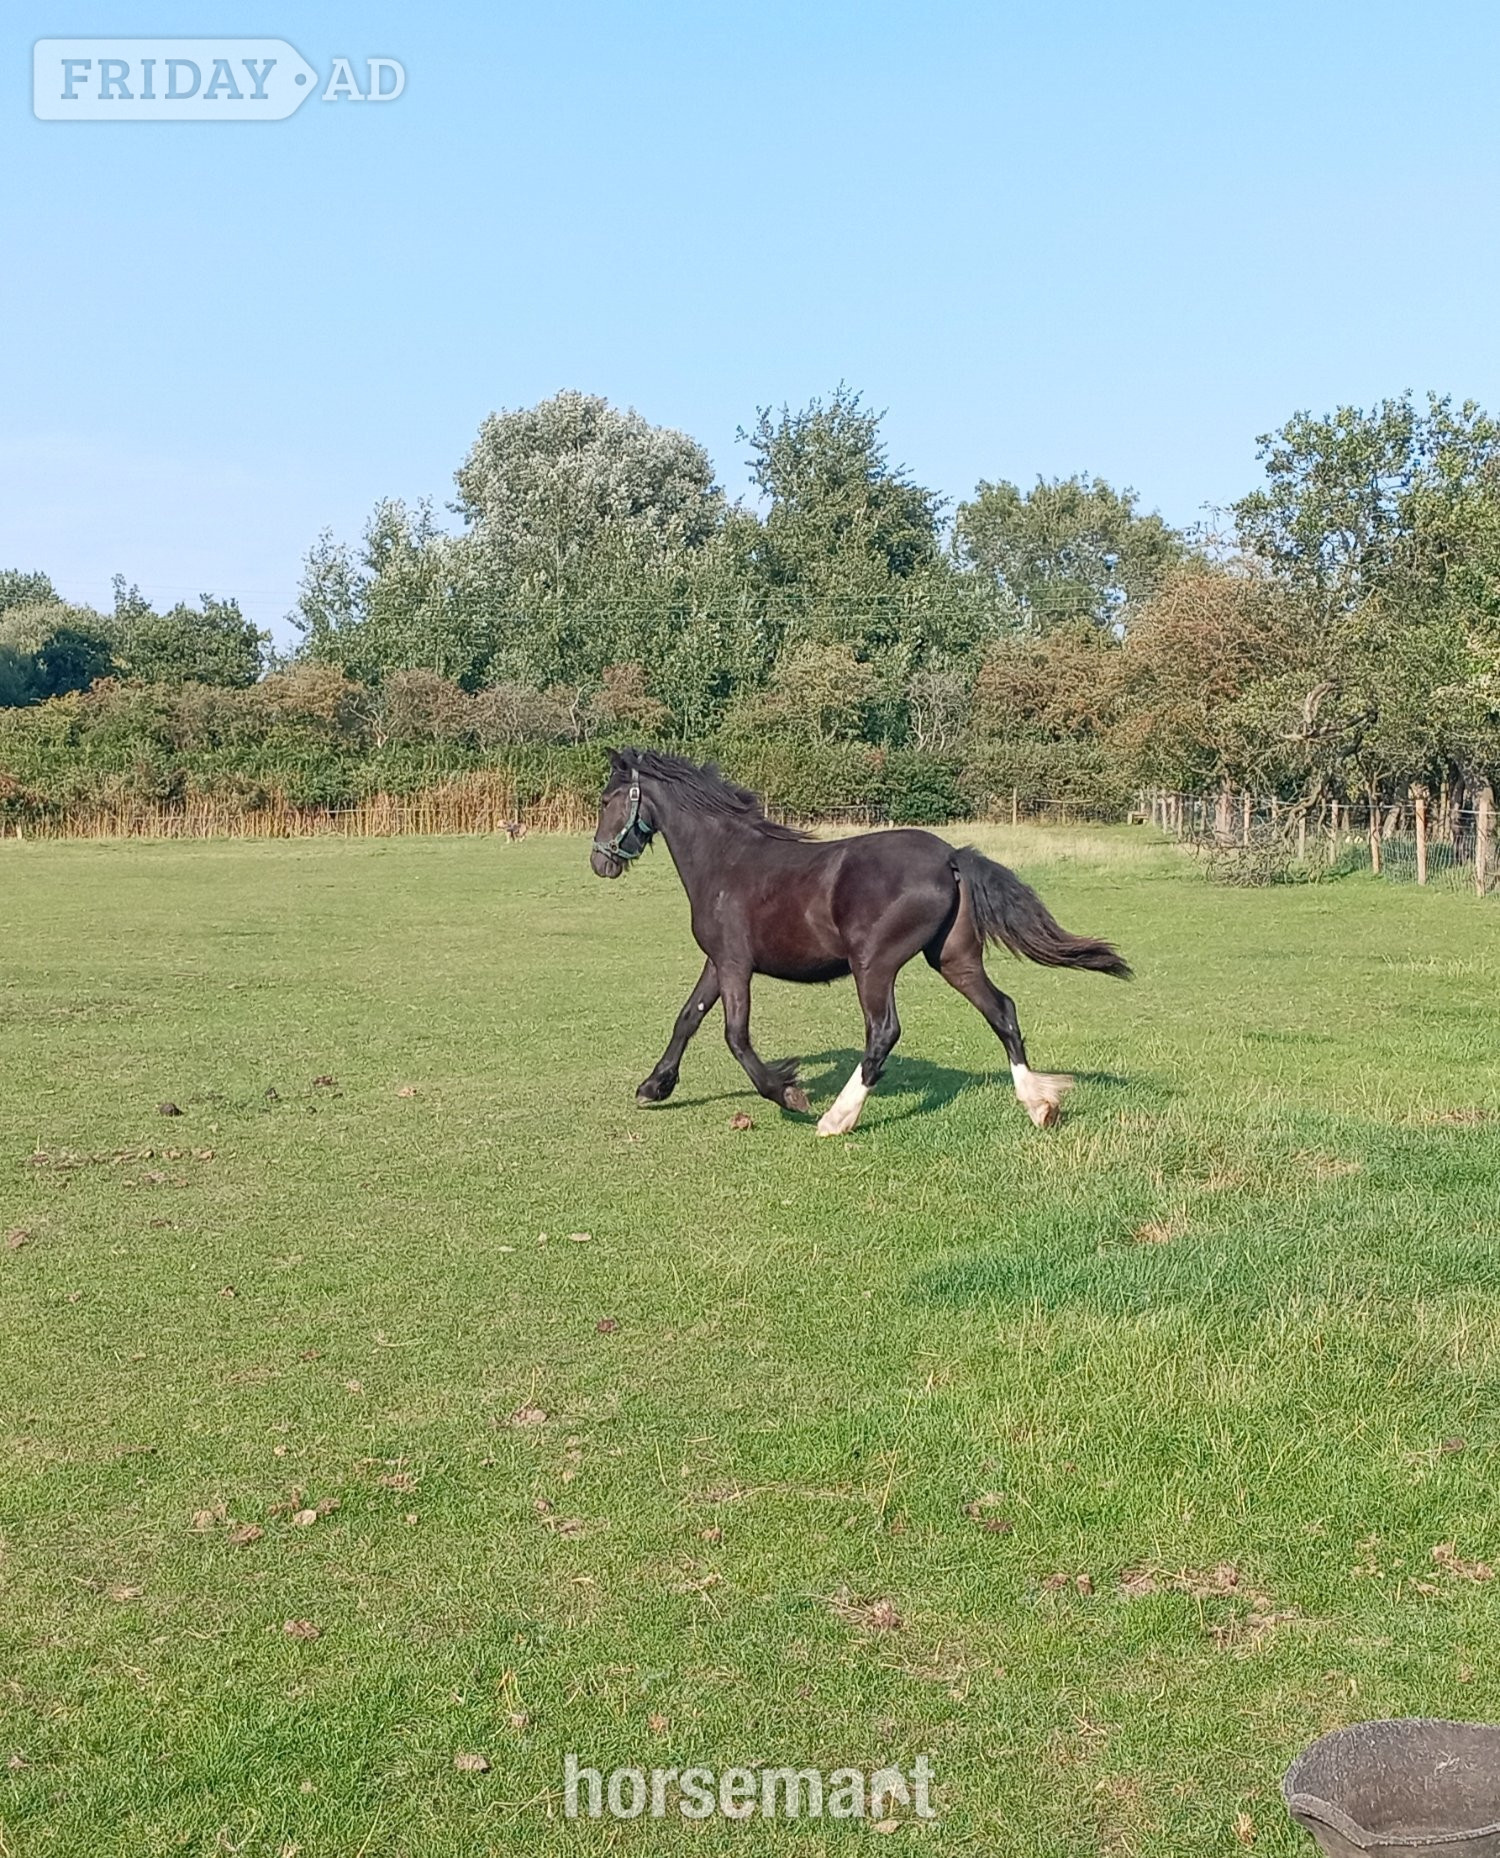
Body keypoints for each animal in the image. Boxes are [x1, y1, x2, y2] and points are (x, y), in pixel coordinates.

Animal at [589, 748, 1131, 1136]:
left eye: (606, 800)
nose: (599, 862)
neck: (725, 859)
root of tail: (951, 856)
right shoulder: (717, 962)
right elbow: (687, 1018)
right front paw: (653, 1086)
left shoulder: (735, 964)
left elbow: (735, 1036)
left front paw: (789, 1093)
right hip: (954, 960)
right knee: (1003, 1011)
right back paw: (1039, 1105)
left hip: (873, 964)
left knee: (883, 1032)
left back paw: (837, 1118)